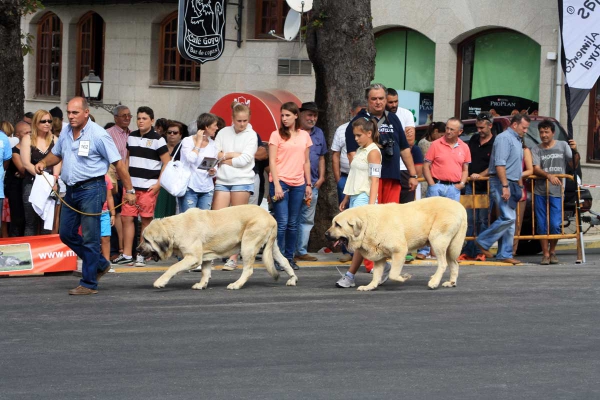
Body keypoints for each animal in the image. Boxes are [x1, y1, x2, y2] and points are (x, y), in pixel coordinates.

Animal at [141, 205, 300, 290]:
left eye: (146, 240)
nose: (137, 250)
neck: (173, 228)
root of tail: (270, 217)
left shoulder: (193, 258)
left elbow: (173, 268)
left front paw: (160, 282)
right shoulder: (204, 258)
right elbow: (205, 272)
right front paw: (202, 284)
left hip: (248, 246)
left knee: (248, 270)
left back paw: (236, 284)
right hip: (271, 248)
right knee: (285, 261)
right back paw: (292, 279)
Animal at [324, 197, 468, 290]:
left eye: (338, 225)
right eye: (333, 223)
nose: (325, 234)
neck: (367, 225)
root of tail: (460, 206)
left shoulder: (400, 251)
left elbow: (393, 274)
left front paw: (403, 277)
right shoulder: (379, 257)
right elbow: (376, 275)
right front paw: (370, 286)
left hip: (437, 241)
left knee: (443, 264)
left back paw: (434, 282)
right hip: (449, 247)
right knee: (454, 264)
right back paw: (451, 282)